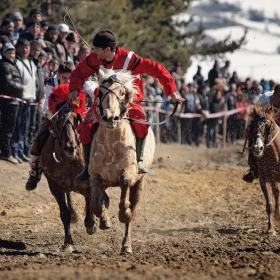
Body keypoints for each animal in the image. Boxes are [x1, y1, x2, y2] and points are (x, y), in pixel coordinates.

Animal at [40, 103, 95, 252]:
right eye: (58, 123)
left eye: (77, 120)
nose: (70, 147)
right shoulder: (54, 186)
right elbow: (65, 214)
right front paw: (68, 243)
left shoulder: (88, 183)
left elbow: (90, 203)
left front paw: (91, 225)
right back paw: (75, 213)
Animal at [89, 68, 155, 254]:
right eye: (100, 92)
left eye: (122, 93)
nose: (111, 118)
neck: (112, 144)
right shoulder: (95, 176)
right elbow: (95, 204)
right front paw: (103, 220)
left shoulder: (129, 174)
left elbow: (125, 189)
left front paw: (123, 214)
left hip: (140, 183)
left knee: (133, 211)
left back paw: (126, 245)